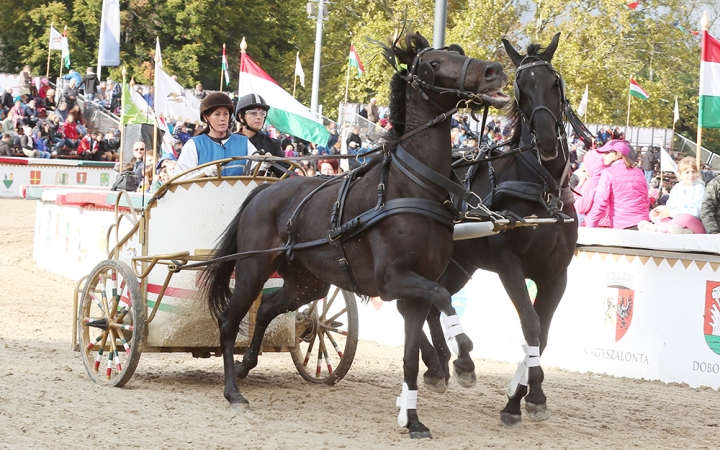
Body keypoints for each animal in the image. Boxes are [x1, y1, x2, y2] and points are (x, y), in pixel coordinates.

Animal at [200, 32, 510, 440]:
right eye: (435, 63)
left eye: (456, 53)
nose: (494, 71)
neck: (410, 188)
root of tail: (264, 190)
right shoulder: (394, 281)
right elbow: (444, 299)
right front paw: (464, 364)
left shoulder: (417, 288)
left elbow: (412, 355)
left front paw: (413, 420)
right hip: (253, 269)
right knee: (228, 321)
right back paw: (233, 391)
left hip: (307, 283)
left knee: (267, 308)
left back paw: (247, 364)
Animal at [416, 33, 580, 428]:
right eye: (521, 88)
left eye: (554, 83)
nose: (547, 140)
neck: (543, 189)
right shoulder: (509, 264)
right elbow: (531, 324)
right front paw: (531, 397)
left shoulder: (557, 274)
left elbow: (543, 335)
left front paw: (517, 396)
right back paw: (442, 363)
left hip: (459, 265)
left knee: (433, 303)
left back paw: (446, 362)